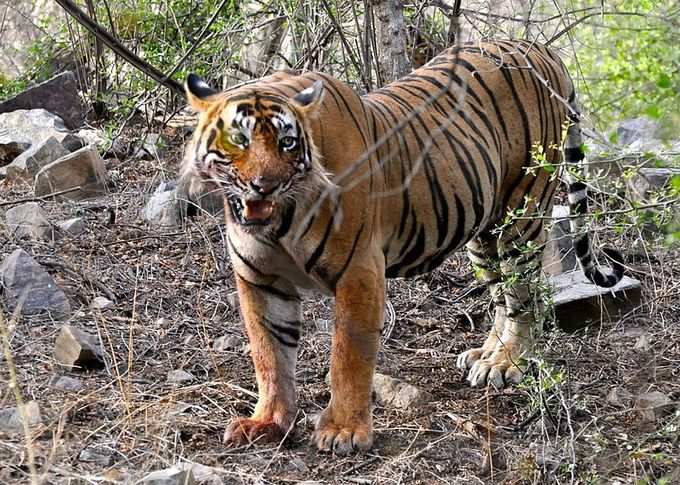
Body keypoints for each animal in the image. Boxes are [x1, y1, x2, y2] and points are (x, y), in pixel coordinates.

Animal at [179, 38, 620, 454]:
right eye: (238, 140)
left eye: (287, 143)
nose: (264, 185)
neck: (279, 220)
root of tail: (539, 47)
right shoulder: (260, 279)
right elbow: (268, 354)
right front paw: (267, 422)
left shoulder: (358, 271)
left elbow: (348, 357)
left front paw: (344, 431)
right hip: (484, 229)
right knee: (502, 296)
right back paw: (484, 354)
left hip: (522, 212)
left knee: (524, 296)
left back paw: (507, 362)